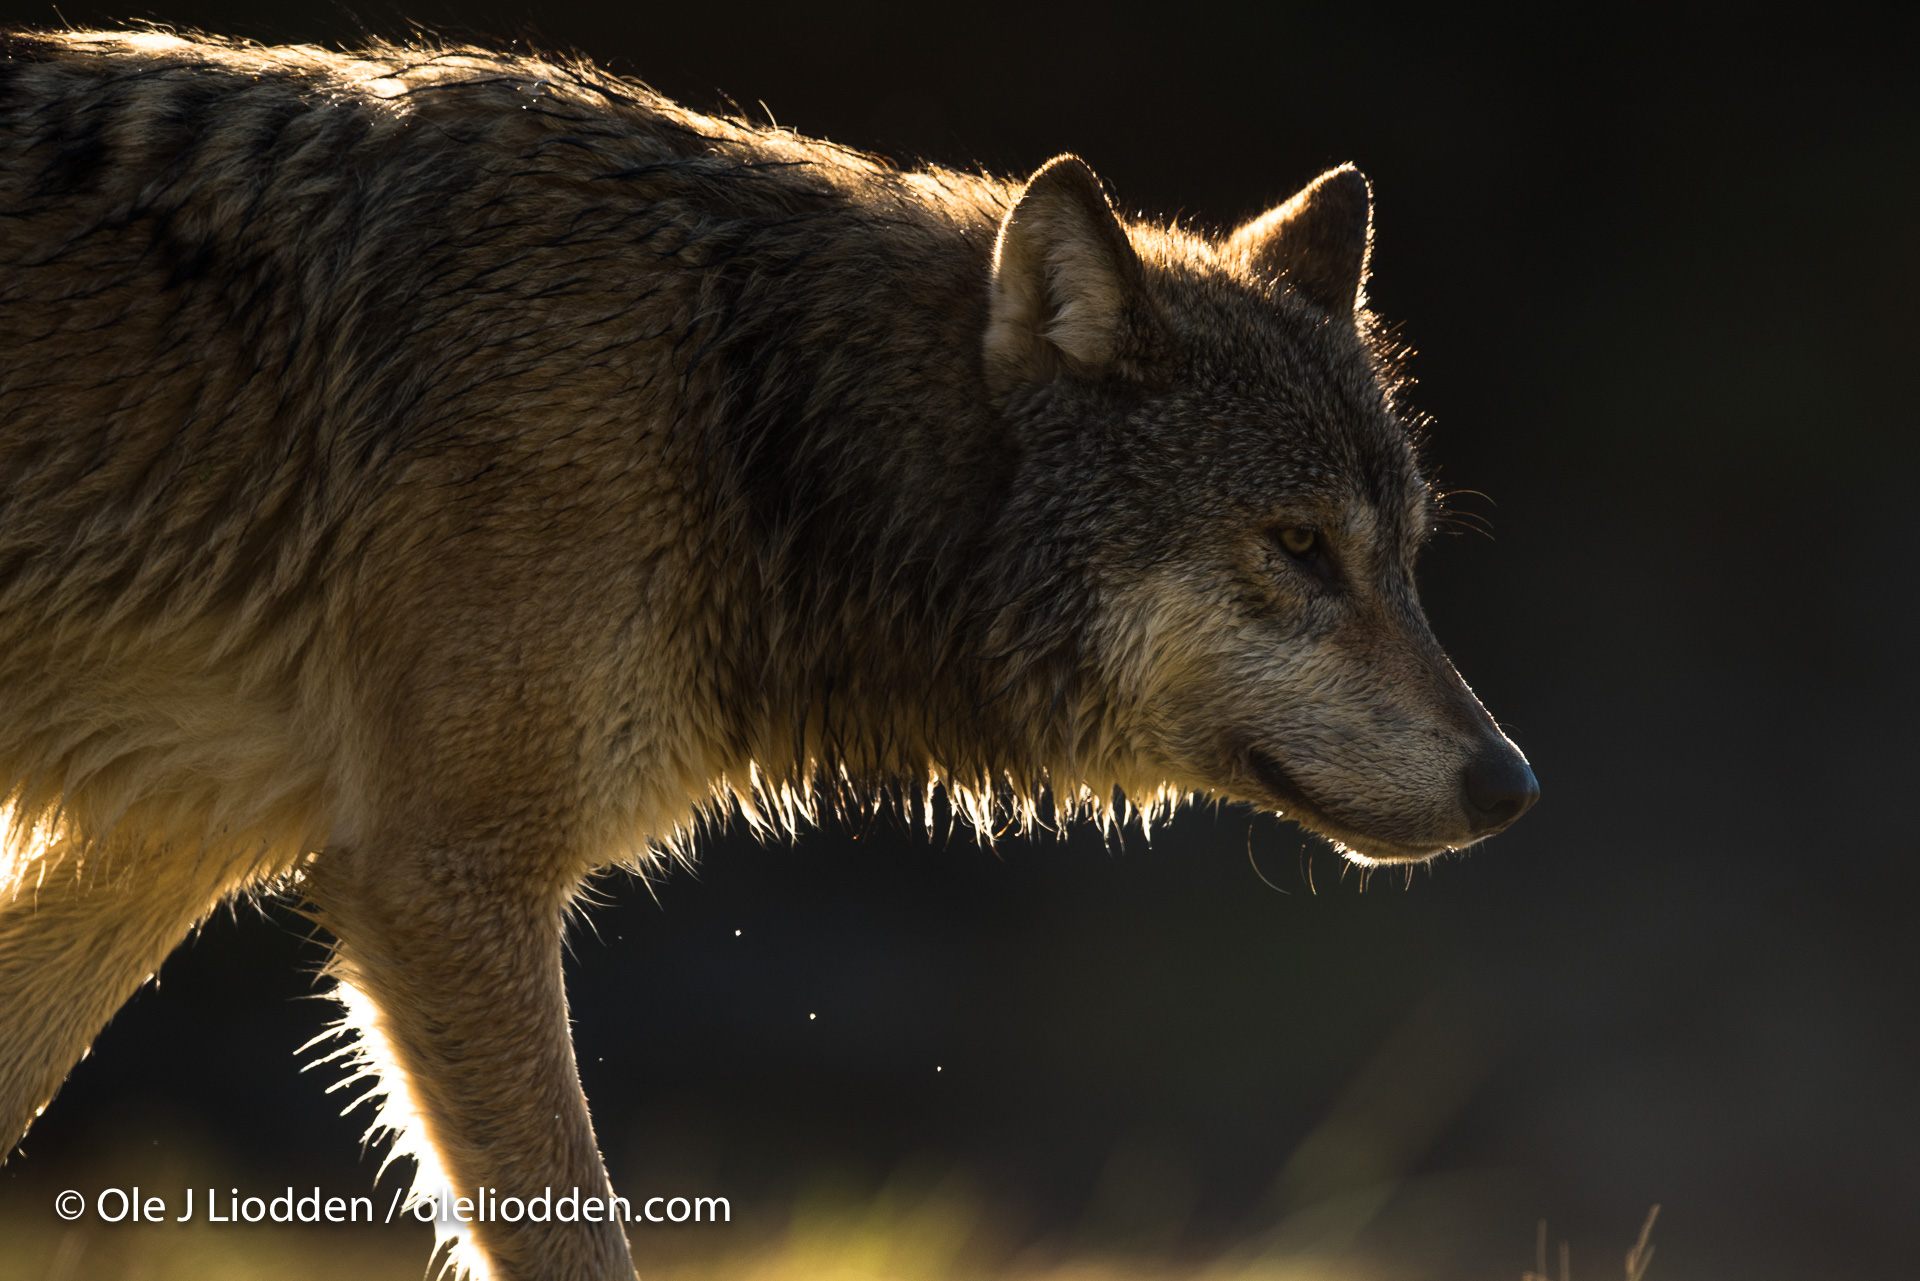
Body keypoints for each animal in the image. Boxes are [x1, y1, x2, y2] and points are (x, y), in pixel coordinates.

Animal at [0, 27, 1528, 1281]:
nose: (1511, 784)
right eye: (1297, 548)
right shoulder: (439, 882)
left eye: (1403, 554)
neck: (740, 417)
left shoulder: (157, 850)